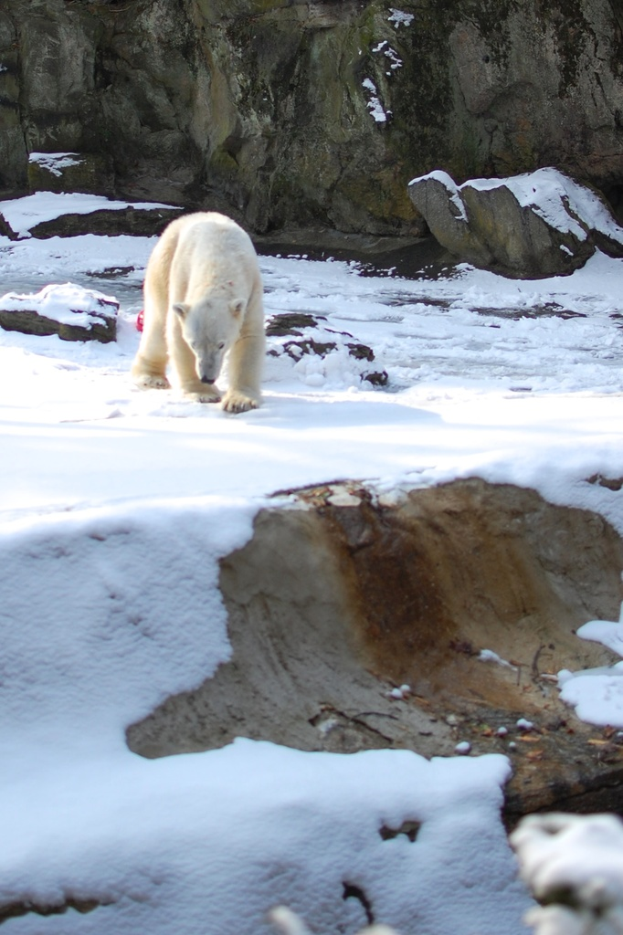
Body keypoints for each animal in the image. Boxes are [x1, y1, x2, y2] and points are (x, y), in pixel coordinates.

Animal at [131, 211, 265, 413]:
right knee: (157, 322)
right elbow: (176, 333)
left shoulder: (251, 291)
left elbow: (249, 336)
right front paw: (204, 393)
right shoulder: (182, 280)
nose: (207, 378)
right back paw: (152, 378)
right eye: (194, 344)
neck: (218, 260)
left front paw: (239, 401)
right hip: (163, 262)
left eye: (221, 344)